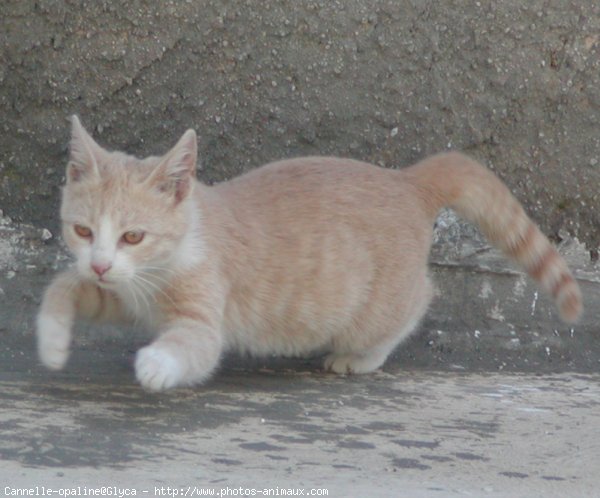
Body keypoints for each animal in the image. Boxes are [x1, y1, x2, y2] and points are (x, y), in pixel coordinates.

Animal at [35, 116, 584, 390]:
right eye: (83, 230)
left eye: (133, 236)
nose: (101, 262)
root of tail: (406, 180)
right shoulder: (118, 291)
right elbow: (64, 287)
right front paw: (52, 342)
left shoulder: (202, 314)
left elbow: (191, 345)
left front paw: (154, 364)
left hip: (378, 304)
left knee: (417, 302)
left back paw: (360, 358)